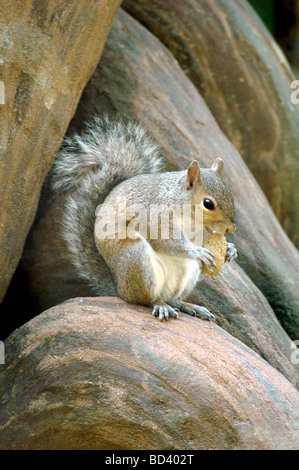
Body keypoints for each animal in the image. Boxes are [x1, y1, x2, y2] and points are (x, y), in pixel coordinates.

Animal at [52, 117, 239, 322]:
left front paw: (230, 250)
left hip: (187, 273)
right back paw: (160, 305)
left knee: (173, 299)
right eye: (208, 203)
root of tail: (119, 289)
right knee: (145, 299)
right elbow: (166, 241)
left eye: (231, 195)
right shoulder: (154, 217)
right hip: (137, 259)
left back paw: (190, 306)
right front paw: (198, 251)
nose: (230, 229)